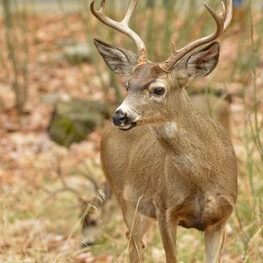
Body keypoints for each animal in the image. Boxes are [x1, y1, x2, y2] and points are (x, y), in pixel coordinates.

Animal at [91, 0, 239, 262]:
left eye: (158, 89)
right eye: (127, 85)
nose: (119, 115)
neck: (203, 178)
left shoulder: (222, 216)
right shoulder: (164, 208)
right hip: (124, 197)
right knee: (133, 245)